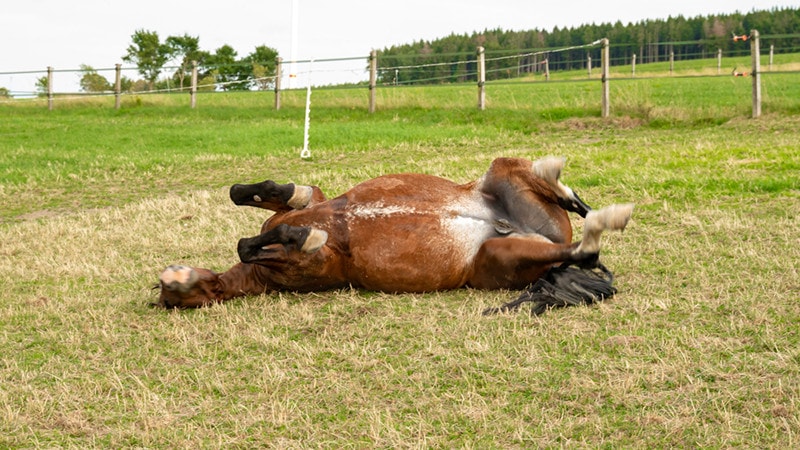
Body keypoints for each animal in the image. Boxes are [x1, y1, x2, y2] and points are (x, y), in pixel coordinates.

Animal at [155, 156, 632, 312]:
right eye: (168, 298)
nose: (169, 278)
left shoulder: (313, 204)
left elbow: (262, 197)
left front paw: (293, 220)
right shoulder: (312, 266)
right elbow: (251, 244)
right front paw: (303, 236)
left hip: (503, 173)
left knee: (568, 200)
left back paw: (587, 199)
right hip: (499, 256)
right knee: (583, 252)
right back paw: (601, 225)